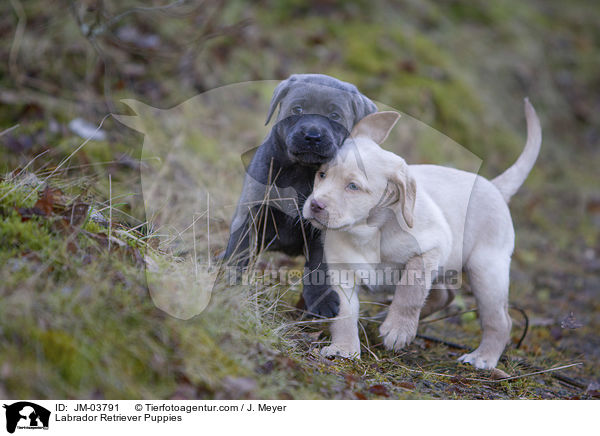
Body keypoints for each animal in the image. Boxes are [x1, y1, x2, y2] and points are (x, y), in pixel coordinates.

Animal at [223, 73, 378, 316]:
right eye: (297, 109)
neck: (300, 171)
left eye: (334, 115)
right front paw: (228, 286)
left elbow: (319, 266)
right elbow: (238, 253)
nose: (312, 136)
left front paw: (321, 301)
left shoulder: (323, 231)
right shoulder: (251, 214)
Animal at [302, 99, 540, 368]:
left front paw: (398, 329)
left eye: (353, 186)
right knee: (445, 295)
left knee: (500, 320)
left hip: (487, 272)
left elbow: (411, 290)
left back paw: (482, 358)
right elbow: (344, 312)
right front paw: (343, 349)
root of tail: (495, 187)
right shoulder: (342, 270)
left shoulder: (430, 249)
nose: (315, 205)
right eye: (321, 174)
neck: (370, 229)